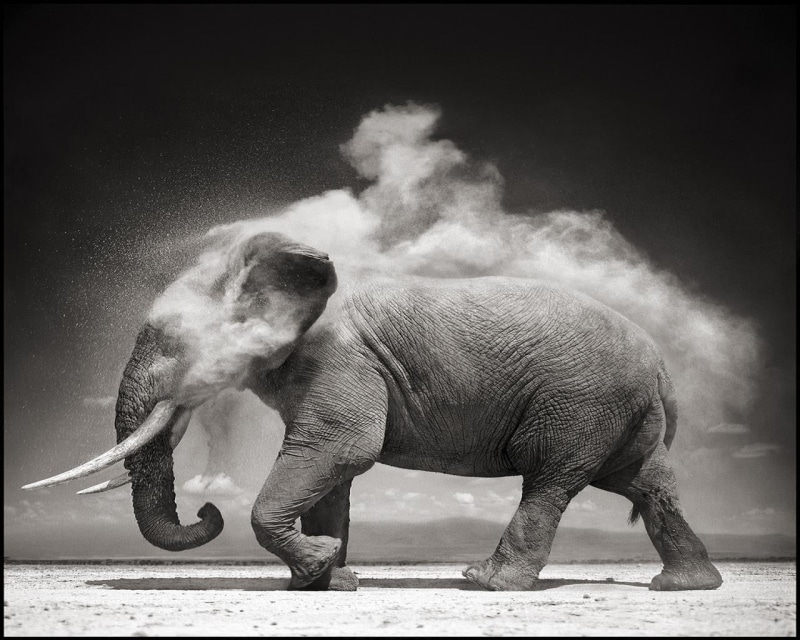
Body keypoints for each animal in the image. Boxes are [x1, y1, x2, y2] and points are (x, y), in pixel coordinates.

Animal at [24, 230, 723, 592]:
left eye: (172, 342)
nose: (206, 510)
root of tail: (662, 365)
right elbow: (333, 474)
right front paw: (326, 578)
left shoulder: (340, 360)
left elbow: (340, 449)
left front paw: (318, 565)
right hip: (620, 411)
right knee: (646, 483)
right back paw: (686, 586)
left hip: (580, 400)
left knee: (551, 480)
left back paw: (484, 582)